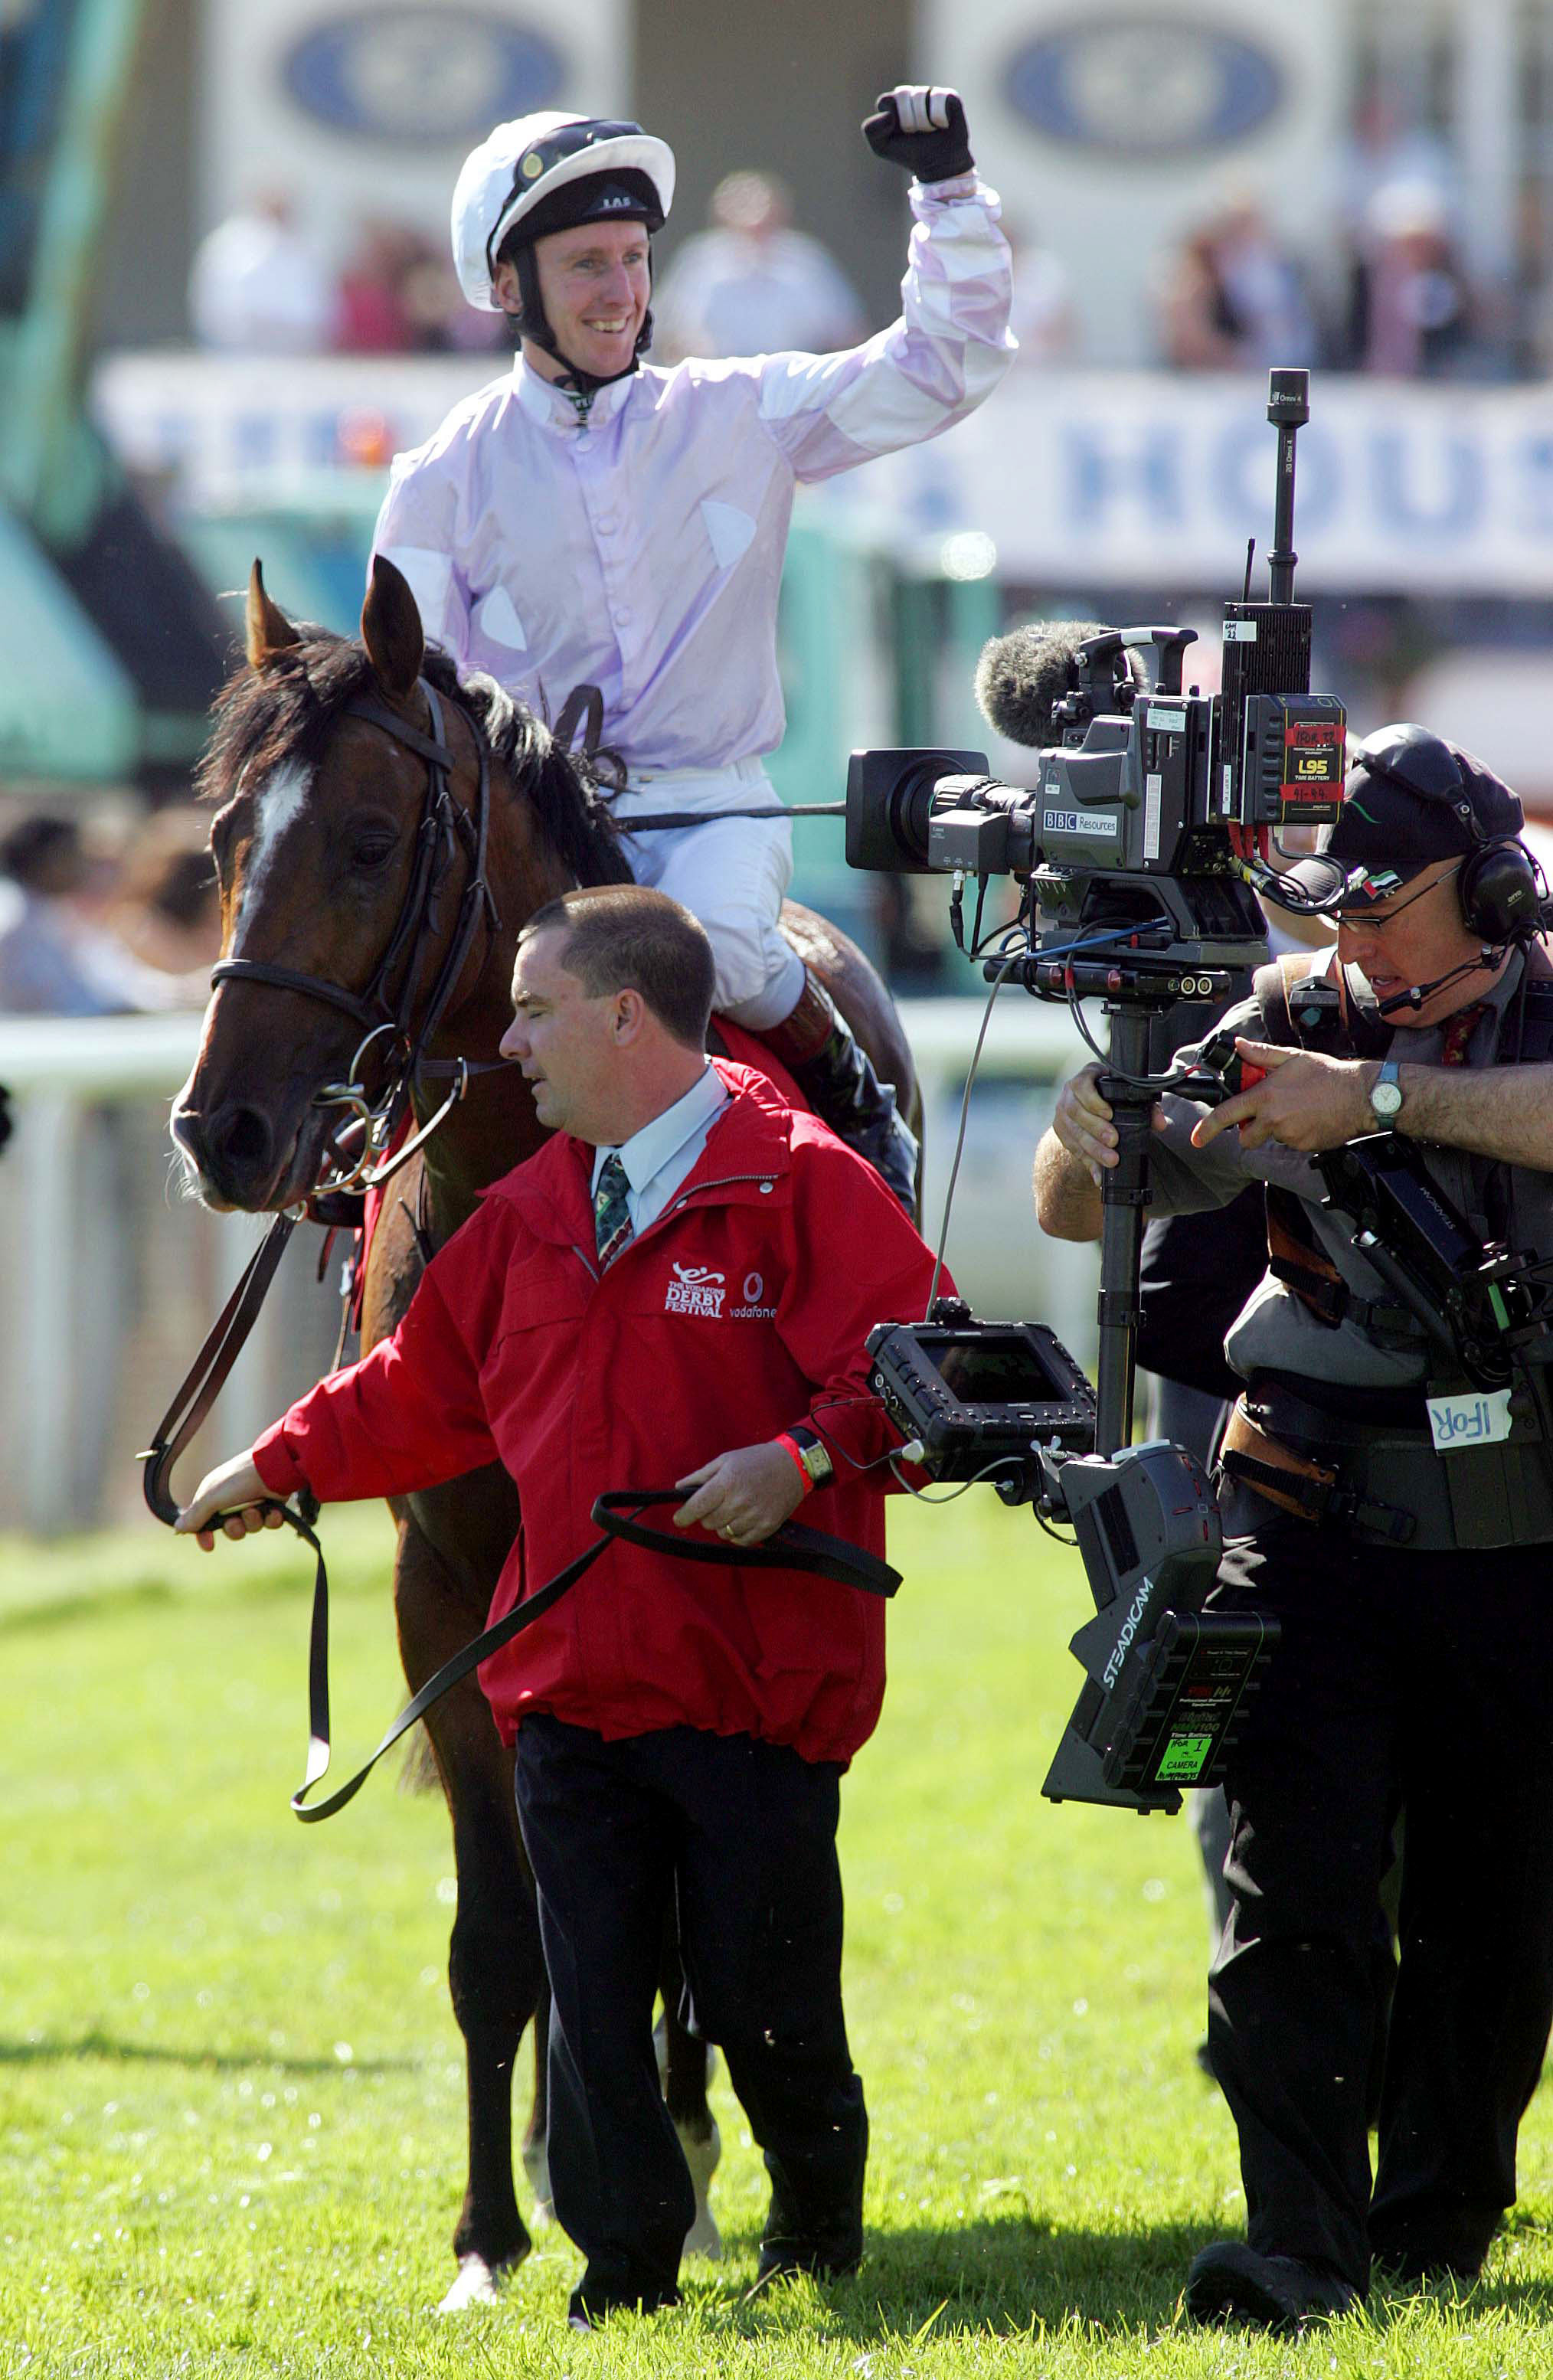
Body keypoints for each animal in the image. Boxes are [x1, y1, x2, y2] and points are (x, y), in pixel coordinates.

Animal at [170, 552, 922, 2303]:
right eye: (225, 841)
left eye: (368, 839)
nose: (221, 1130)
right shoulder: (443, 1583)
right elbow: (502, 1930)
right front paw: (489, 2231)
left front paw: (667, 2165)